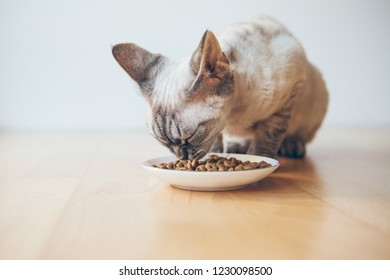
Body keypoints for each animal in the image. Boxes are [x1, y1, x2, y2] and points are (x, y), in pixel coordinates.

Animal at [112, 15, 330, 160]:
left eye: (188, 137)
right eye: (164, 143)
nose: (181, 158)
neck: (234, 117)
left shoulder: (288, 96)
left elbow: (269, 134)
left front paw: (261, 158)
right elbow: (216, 137)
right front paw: (216, 152)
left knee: (297, 134)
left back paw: (290, 147)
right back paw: (236, 146)